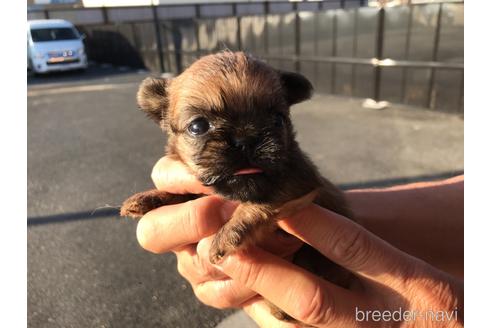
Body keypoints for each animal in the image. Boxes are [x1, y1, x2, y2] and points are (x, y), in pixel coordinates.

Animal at [121, 51, 352, 322]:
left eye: (278, 120)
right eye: (198, 126)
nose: (246, 139)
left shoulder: (298, 177)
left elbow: (262, 200)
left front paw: (229, 233)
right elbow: (185, 194)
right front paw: (149, 198)